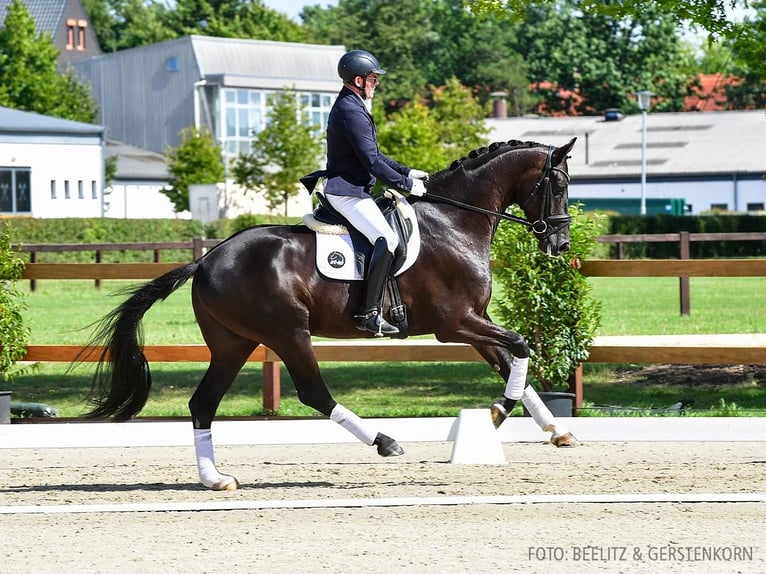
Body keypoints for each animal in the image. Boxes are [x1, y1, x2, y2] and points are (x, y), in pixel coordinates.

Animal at [84, 138, 576, 490]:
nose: (560, 245)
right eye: (559, 186)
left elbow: (512, 363)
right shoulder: (454, 323)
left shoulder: (473, 321)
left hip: (233, 343)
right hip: (287, 334)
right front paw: (496, 413)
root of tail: (206, 260)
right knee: (313, 393)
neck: (454, 221)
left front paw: (554, 430)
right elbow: (520, 346)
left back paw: (215, 479)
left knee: (203, 403)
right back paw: (385, 442)